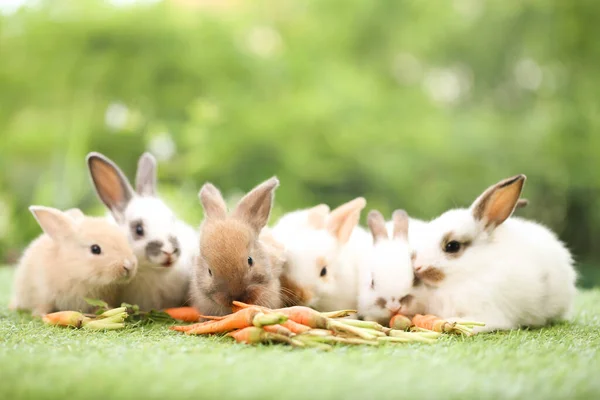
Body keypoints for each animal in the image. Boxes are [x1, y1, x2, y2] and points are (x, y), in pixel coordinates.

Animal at [10, 206, 138, 316]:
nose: (129, 266)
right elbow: (43, 306)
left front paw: (109, 309)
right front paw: (41, 316)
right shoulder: (43, 293)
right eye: (95, 249)